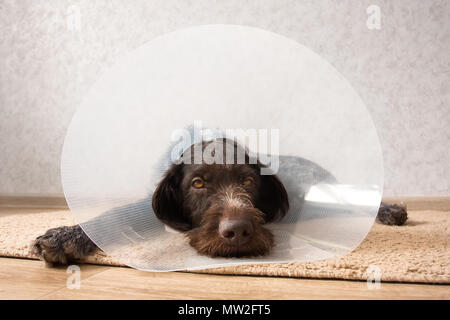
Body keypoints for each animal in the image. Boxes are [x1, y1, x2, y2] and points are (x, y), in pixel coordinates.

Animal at [30, 138, 404, 264]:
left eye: (248, 181)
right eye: (197, 183)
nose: (238, 232)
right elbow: (116, 213)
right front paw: (66, 234)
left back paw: (391, 211)